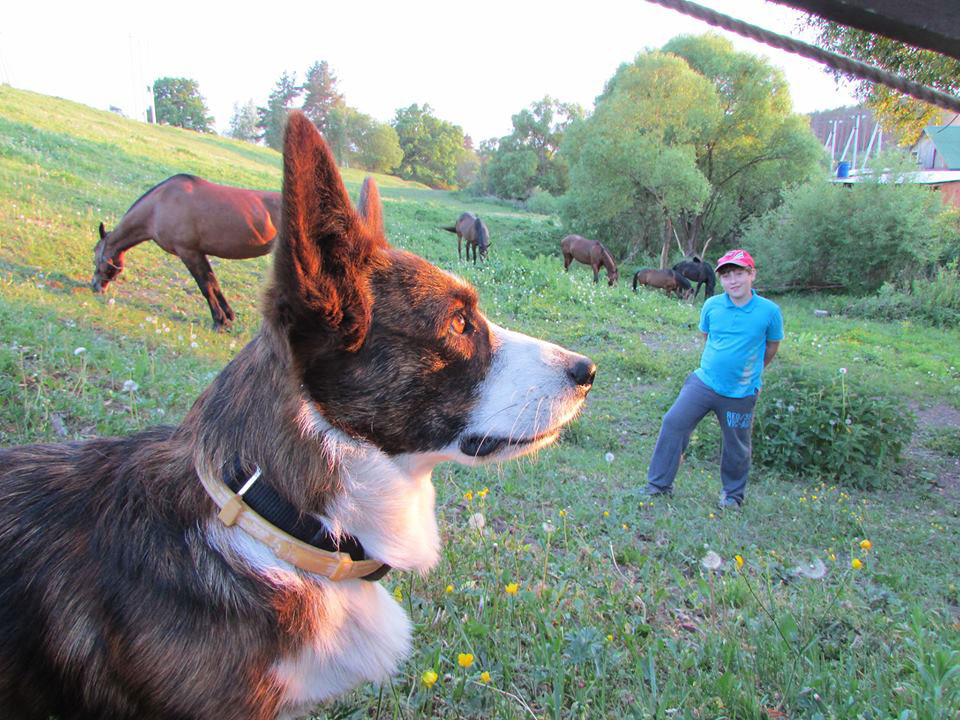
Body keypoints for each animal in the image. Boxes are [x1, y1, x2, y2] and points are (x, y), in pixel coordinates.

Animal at [92, 174, 282, 332]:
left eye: (95, 258)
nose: (95, 286)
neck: (158, 205)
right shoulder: (199, 252)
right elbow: (213, 283)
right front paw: (228, 315)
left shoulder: (188, 252)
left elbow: (205, 286)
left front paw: (219, 321)